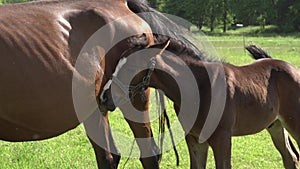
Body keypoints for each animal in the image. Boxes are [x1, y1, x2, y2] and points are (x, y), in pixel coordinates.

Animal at [101, 42, 300, 168]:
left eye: (130, 68)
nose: (104, 97)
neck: (199, 88)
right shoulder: (195, 139)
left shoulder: (222, 138)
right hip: (276, 126)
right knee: (290, 159)